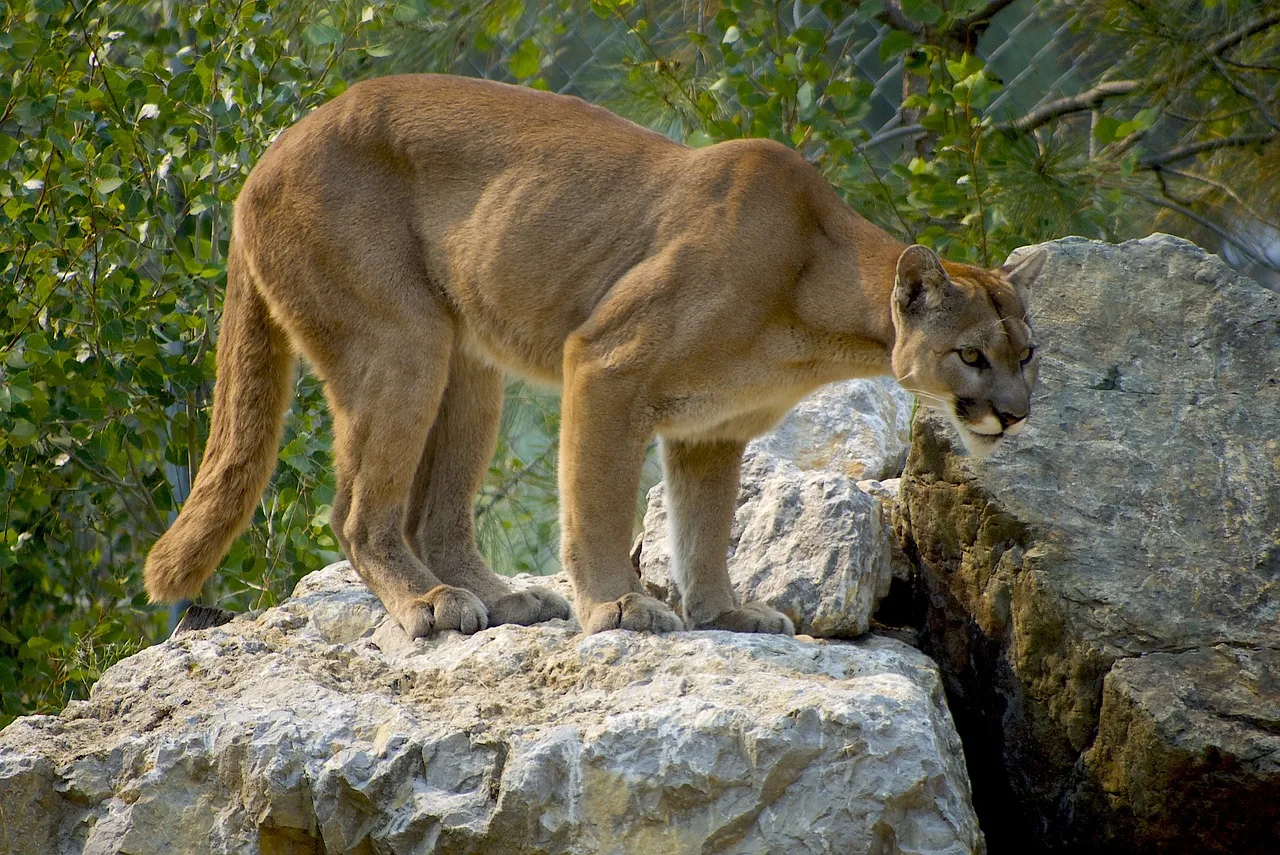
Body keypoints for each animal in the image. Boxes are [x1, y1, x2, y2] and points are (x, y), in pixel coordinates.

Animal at [142, 75, 1039, 634]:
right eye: (971, 355)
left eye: (1028, 354)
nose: (1016, 416)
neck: (818, 307)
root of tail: (265, 156)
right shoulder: (608, 364)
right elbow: (599, 502)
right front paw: (618, 607)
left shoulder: (711, 429)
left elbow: (706, 527)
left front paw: (722, 611)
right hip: (403, 343)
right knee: (358, 510)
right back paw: (430, 604)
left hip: (470, 363)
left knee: (435, 508)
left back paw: (498, 597)